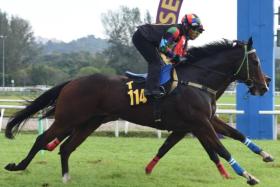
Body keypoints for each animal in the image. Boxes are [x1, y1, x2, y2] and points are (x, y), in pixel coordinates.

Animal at [3, 37, 266, 186]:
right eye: (255, 62)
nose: (264, 86)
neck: (197, 81)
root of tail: (72, 81)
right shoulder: (199, 123)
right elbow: (221, 149)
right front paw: (249, 176)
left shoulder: (205, 120)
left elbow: (237, 135)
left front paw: (265, 155)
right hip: (69, 118)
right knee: (42, 140)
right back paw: (18, 166)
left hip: (90, 122)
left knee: (66, 147)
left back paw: (66, 177)